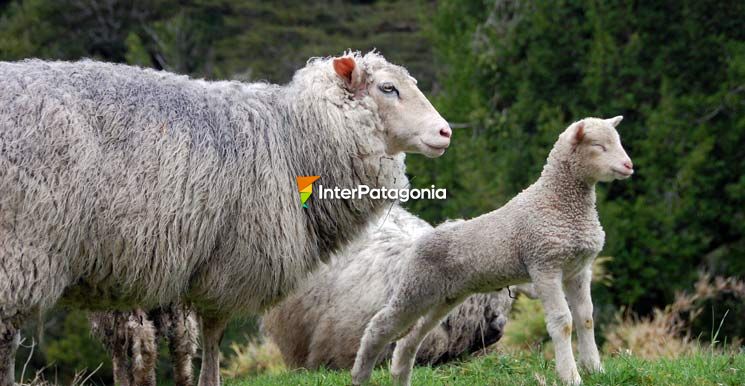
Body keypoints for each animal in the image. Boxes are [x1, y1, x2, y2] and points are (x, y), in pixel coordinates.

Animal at [0, 52, 450, 386]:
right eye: (388, 88)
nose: (445, 132)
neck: (294, 139)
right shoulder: (228, 264)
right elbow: (214, 333)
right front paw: (210, 380)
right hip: (20, 248)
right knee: (7, 337)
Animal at [352, 116, 632, 384]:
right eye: (598, 146)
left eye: (618, 141)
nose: (629, 165)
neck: (556, 200)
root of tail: (423, 235)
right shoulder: (545, 265)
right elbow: (562, 322)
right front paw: (571, 377)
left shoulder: (579, 269)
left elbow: (586, 318)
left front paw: (596, 370)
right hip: (416, 287)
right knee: (379, 325)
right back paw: (360, 375)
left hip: (444, 296)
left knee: (410, 338)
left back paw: (400, 376)